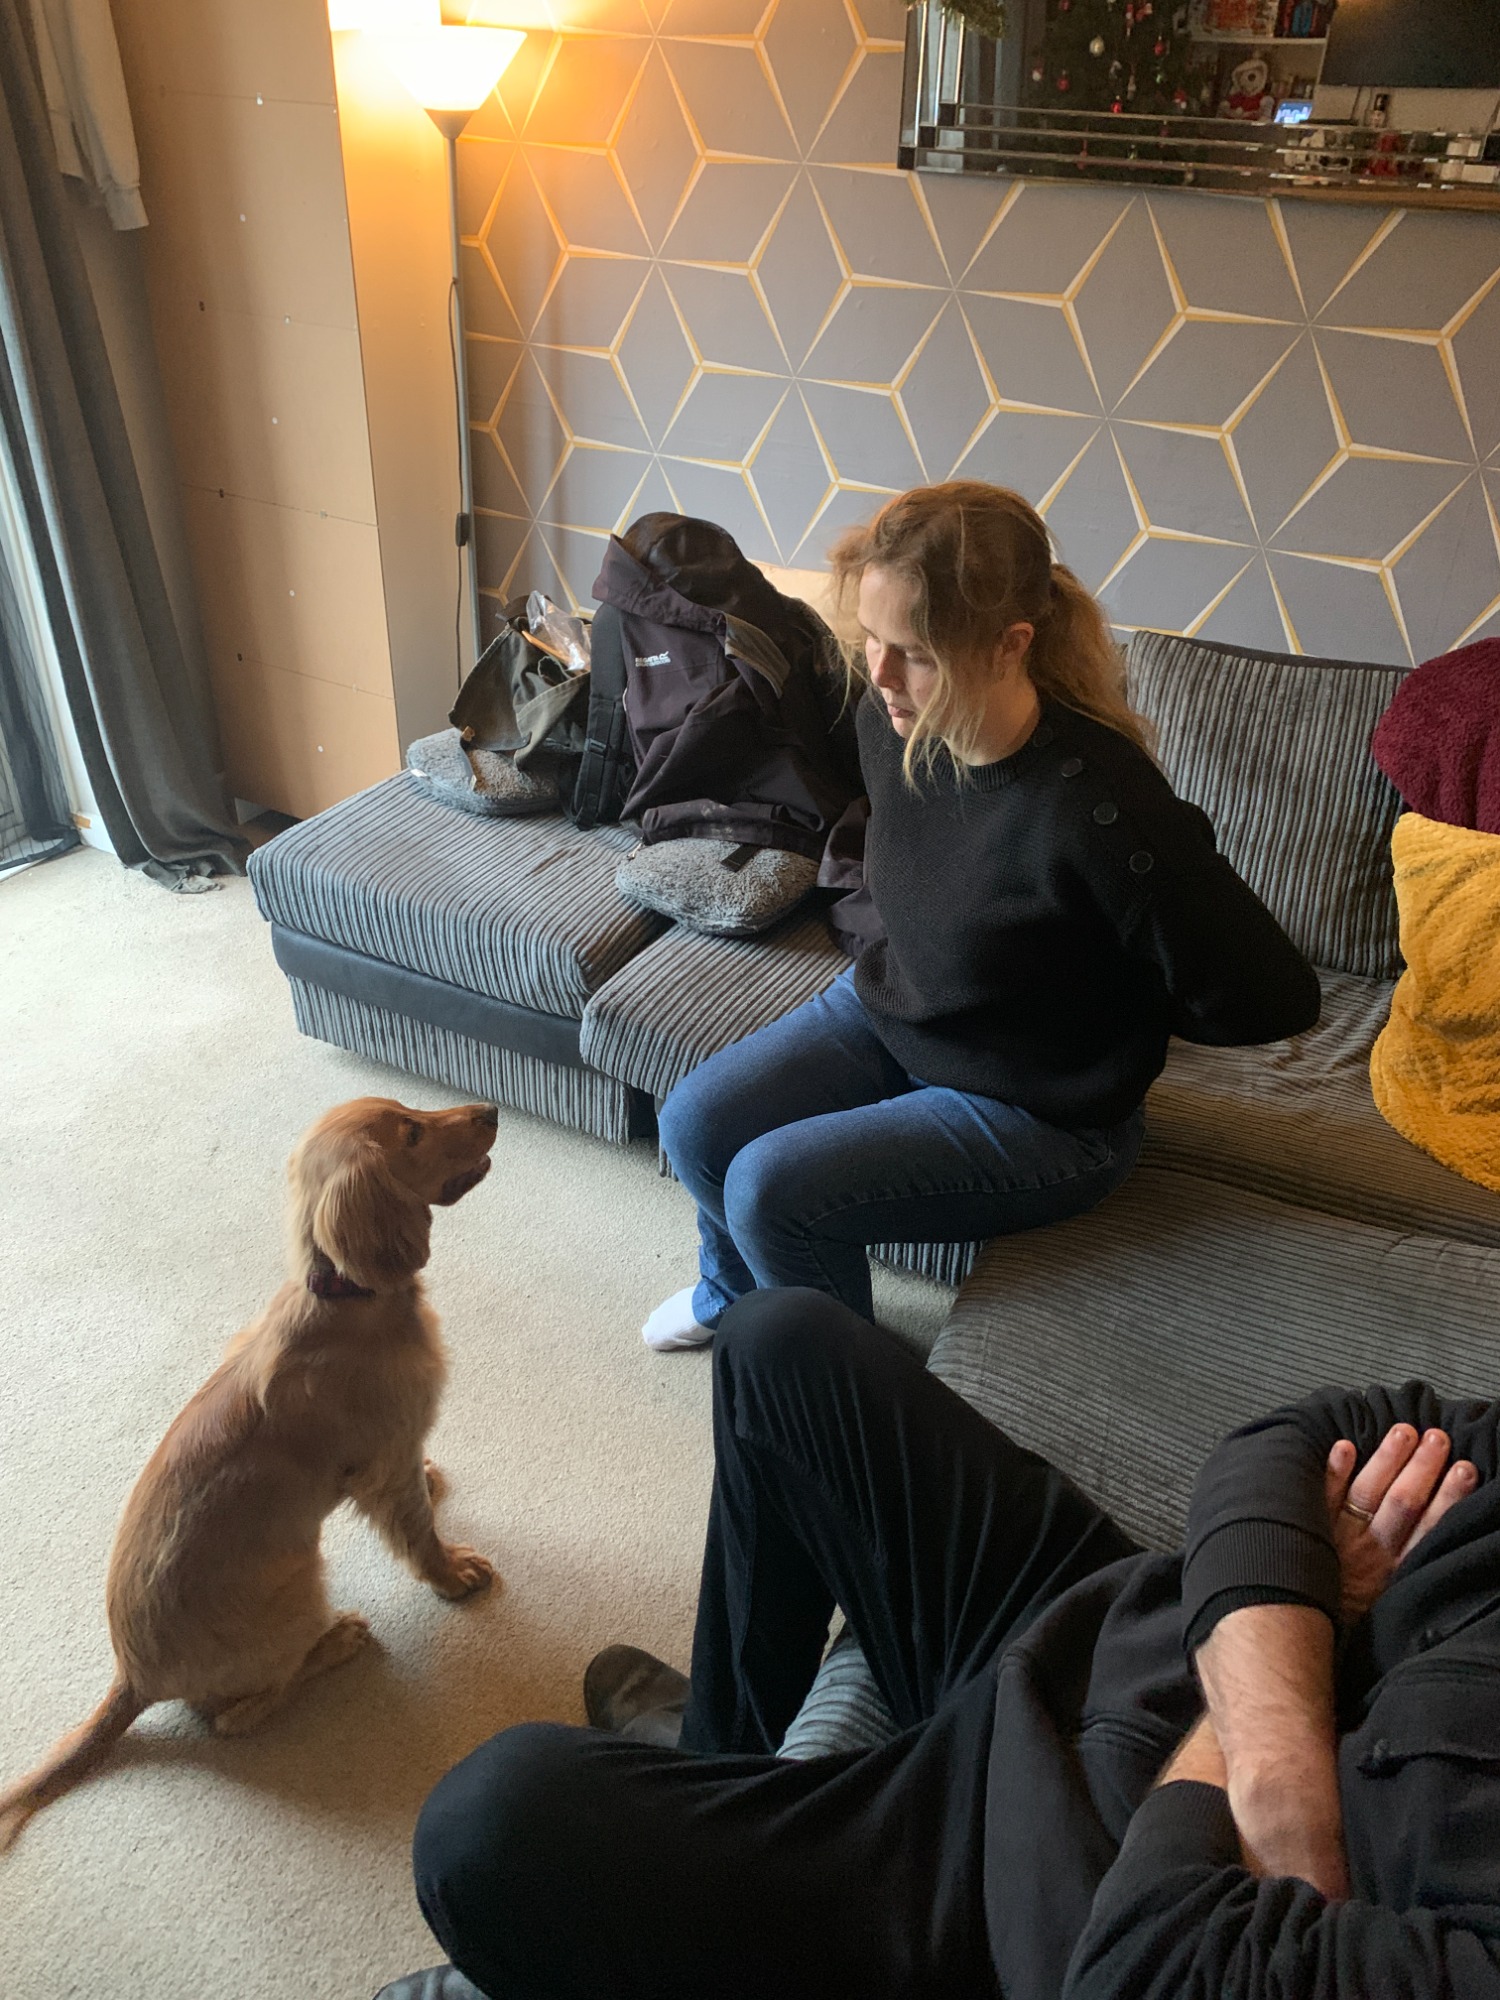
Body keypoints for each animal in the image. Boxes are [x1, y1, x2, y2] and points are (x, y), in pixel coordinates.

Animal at [0, 1095, 500, 1851]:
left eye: (410, 1111)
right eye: (411, 1132)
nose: (492, 1110)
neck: (349, 1299)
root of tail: (132, 1677)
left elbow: (419, 1486)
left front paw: (434, 1476)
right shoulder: (383, 1458)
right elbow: (415, 1527)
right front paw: (453, 1573)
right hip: (298, 1582)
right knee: (239, 1716)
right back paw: (336, 1643)